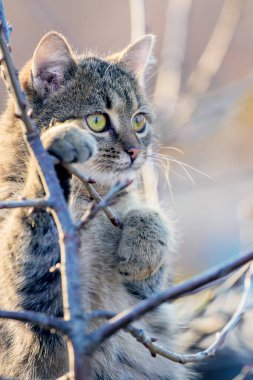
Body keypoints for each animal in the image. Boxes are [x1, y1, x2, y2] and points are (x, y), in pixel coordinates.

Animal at [0, 32, 192, 380]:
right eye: (97, 121)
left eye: (139, 121)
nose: (135, 151)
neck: (89, 198)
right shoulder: (30, 299)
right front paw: (56, 144)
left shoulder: (147, 296)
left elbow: (149, 215)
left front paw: (144, 245)